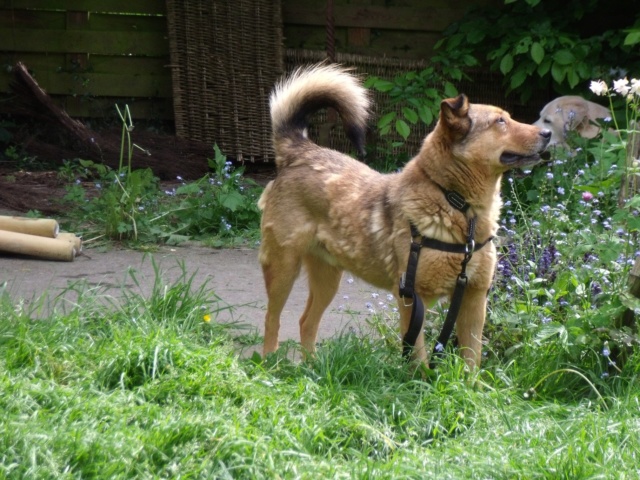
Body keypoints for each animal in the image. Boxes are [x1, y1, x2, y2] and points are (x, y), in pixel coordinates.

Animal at [258, 64, 548, 368]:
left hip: (327, 277)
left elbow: (471, 362)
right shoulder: (412, 298)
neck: (455, 203)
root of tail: (299, 149)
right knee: (271, 320)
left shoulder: (473, 299)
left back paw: (313, 368)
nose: (547, 133)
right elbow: (418, 358)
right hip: (283, 269)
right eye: (500, 121)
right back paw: (269, 364)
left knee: (306, 322)